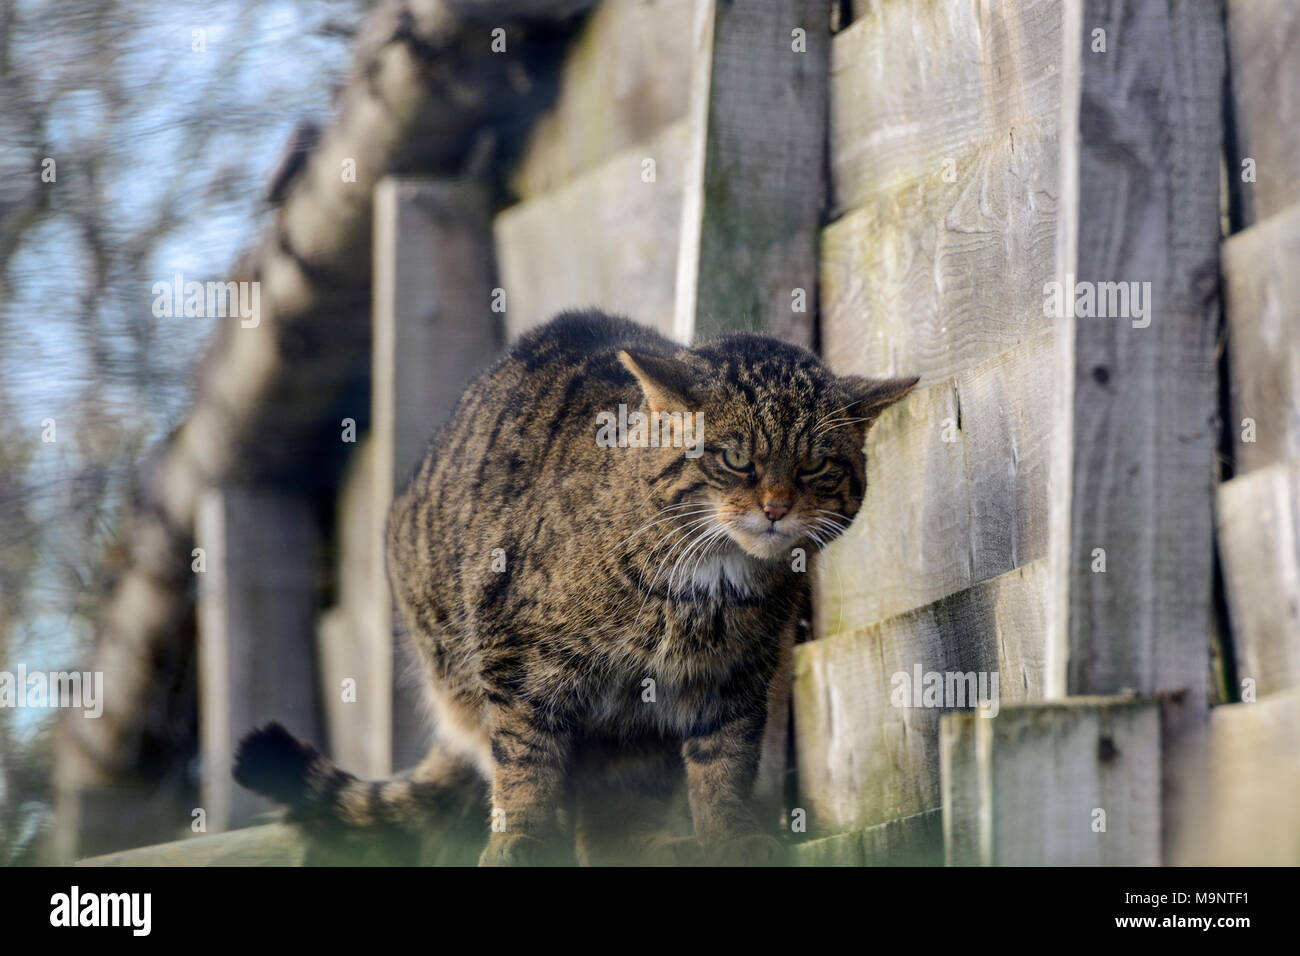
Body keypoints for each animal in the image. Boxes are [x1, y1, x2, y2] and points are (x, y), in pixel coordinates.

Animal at [239, 310, 920, 863]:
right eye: (734, 459)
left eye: (815, 465)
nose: (777, 508)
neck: (711, 586)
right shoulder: (515, 658)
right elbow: (525, 760)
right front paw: (520, 840)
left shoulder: (736, 680)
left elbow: (725, 765)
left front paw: (733, 837)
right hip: (459, 672)